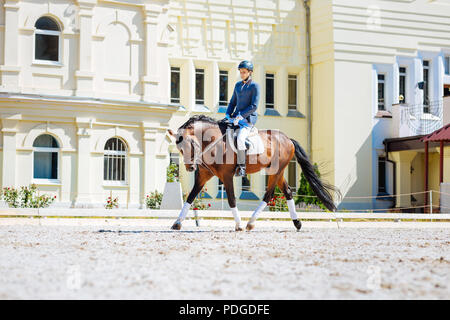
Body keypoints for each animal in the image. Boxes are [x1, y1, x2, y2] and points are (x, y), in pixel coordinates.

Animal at [168, 115, 342, 232]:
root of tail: (288, 139)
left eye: (190, 144)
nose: (190, 168)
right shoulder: (203, 176)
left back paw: (250, 223)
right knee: (287, 191)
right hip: (278, 172)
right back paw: (297, 223)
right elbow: (190, 197)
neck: (213, 142)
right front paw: (177, 223)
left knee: (269, 194)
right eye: (179, 149)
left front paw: (238, 225)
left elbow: (231, 199)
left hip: (275, 171)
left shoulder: (227, 176)